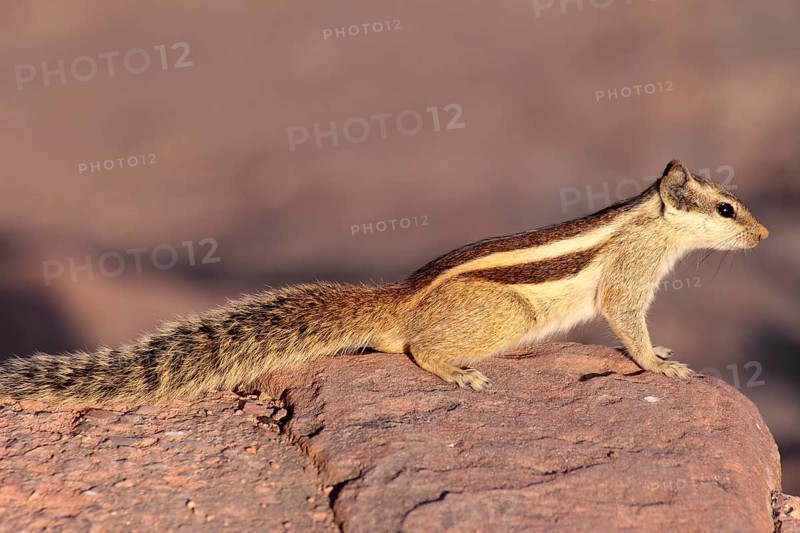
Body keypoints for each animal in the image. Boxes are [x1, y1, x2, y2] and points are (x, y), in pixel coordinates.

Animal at [0, 160, 768, 406]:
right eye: (727, 209)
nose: (764, 238)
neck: (652, 223)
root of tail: (397, 299)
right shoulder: (629, 281)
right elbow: (628, 323)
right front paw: (660, 366)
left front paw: (660, 356)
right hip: (506, 316)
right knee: (417, 349)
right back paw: (457, 371)